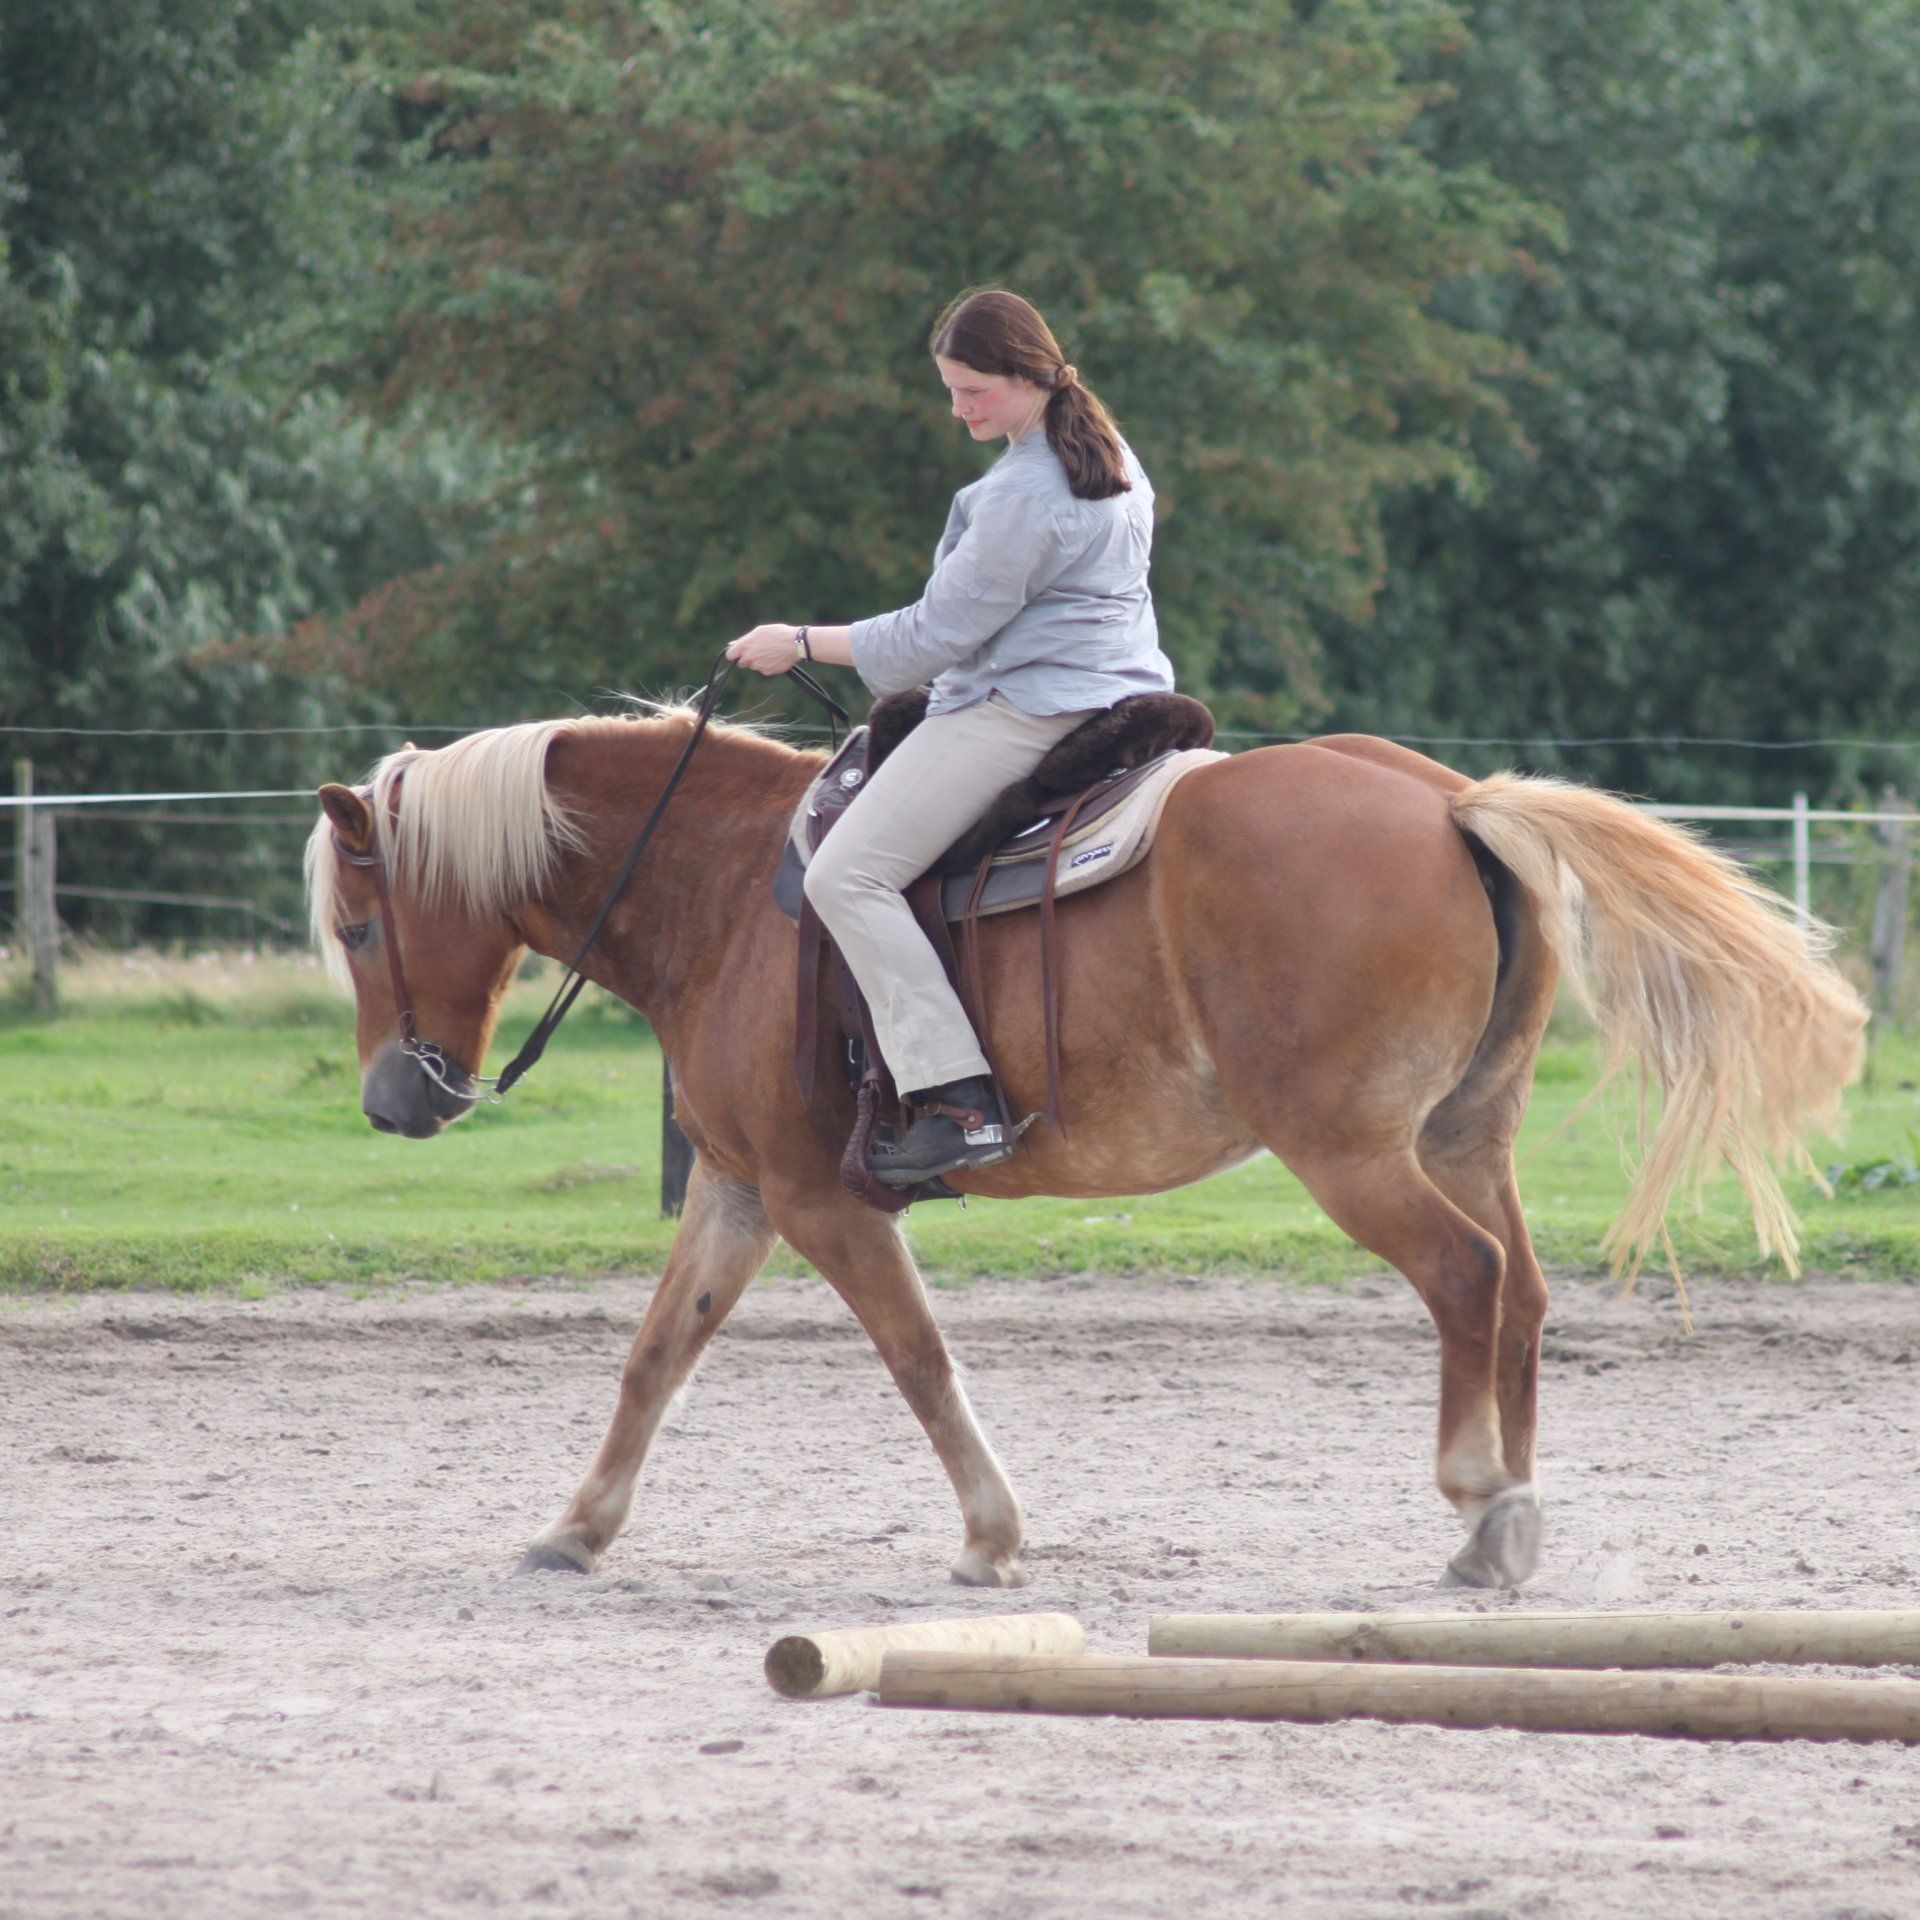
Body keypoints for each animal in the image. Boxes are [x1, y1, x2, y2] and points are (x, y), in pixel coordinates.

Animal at [306, 709, 1865, 1590]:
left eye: (362, 925)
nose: (392, 1101)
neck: (736, 889)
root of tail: (1445, 801)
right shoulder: (745, 1191)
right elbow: (653, 1358)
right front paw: (576, 1530)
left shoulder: (821, 1200)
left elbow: (920, 1359)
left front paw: (994, 1538)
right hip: (1465, 1132)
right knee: (1525, 1295)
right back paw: (1515, 1517)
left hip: (1354, 1155)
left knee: (1469, 1281)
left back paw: (1482, 1505)